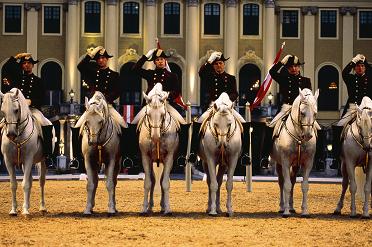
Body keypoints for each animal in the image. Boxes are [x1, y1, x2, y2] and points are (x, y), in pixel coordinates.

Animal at [133, 83, 184, 214]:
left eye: (162, 114)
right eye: (148, 114)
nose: (155, 137)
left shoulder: (169, 158)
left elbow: (165, 183)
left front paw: (167, 209)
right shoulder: (146, 157)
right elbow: (148, 183)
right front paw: (144, 208)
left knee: (161, 180)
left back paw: (162, 206)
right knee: (153, 180)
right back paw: (150, 206)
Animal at [270, 88, 320, 217]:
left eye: (315, 113)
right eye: (302, 113)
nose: (307, 136)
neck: (298, 137)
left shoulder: (307, 163)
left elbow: (304, 186)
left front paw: (305, 211)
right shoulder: (285, 162)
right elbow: (286, 186)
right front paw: (286, 211)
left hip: (296, 165)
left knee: (292, 182)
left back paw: (292, 207)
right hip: (279, 164)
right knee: (282, 182)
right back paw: (283, 207)